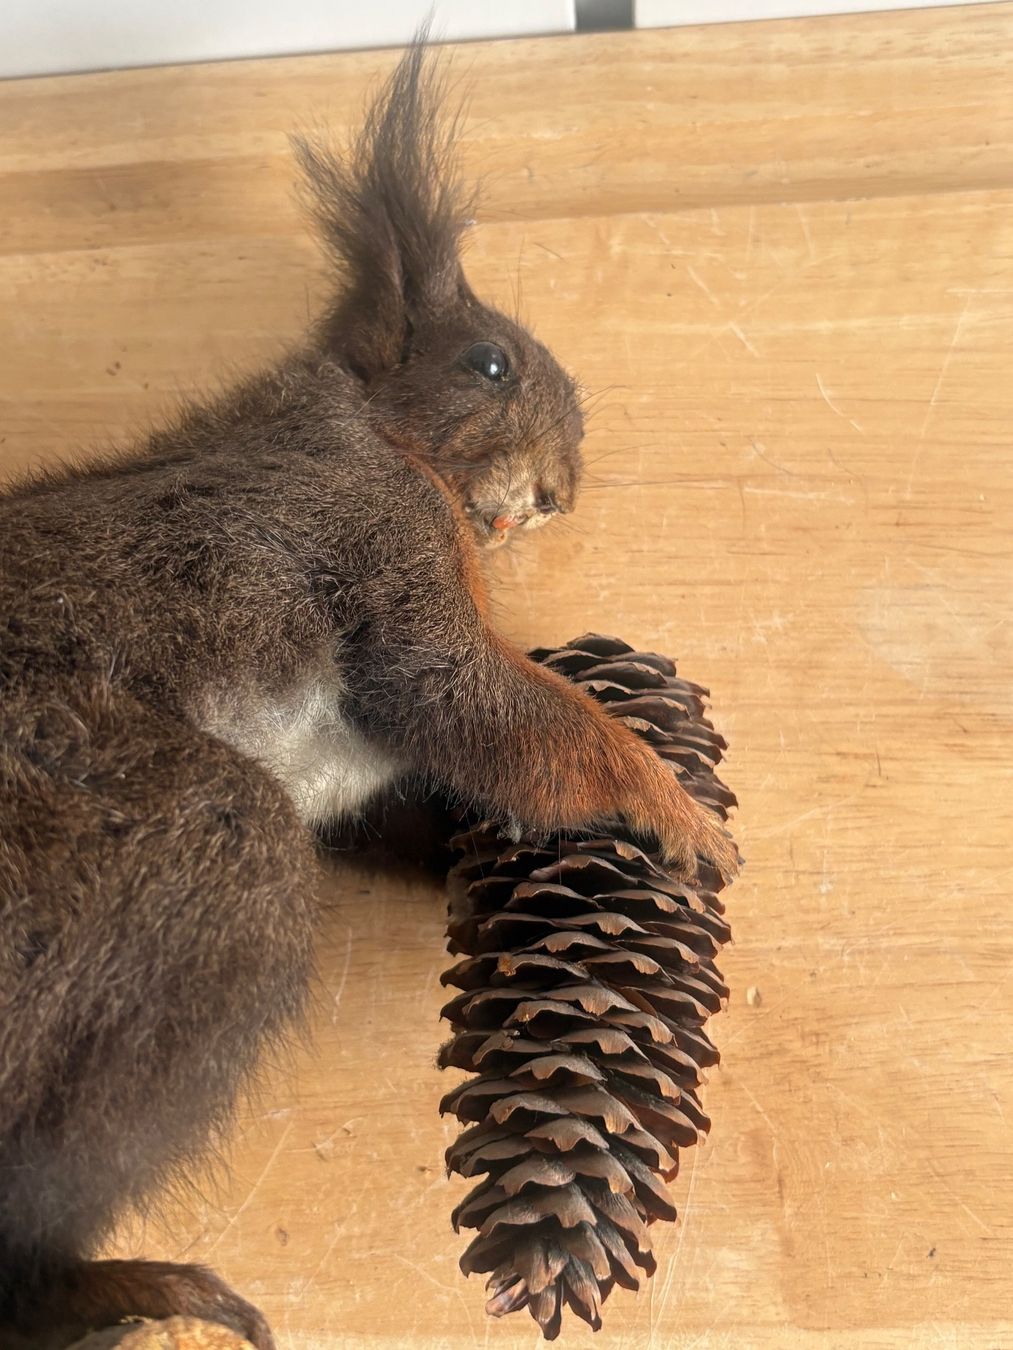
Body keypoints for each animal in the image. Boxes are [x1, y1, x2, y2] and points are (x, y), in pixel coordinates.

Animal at [0, 39, 738, 1350]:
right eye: (486, 362)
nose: (559, 489)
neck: (380, 439)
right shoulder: (365, 534)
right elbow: (483, 705)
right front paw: (670, 802)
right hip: (191, 853)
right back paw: (114, 1294)